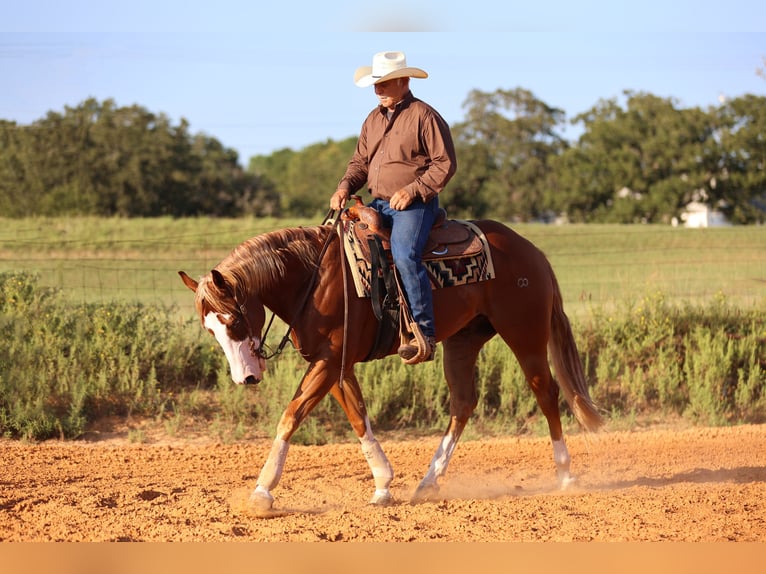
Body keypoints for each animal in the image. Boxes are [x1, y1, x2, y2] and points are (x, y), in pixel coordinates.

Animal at [178, 214, 603, 510]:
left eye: (234, 320)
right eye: (210, 330)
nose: (245, 378)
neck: (313, 279)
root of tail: (530, 250)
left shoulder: (329, 362)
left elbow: (291, 415)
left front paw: (262, 490)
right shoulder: (336, 365)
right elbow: (358, 416)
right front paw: (383, 484)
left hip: (524, 334)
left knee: (545, 392)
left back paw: (566, 475)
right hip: (463, 341)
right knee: (463, 404)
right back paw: (428, 483)